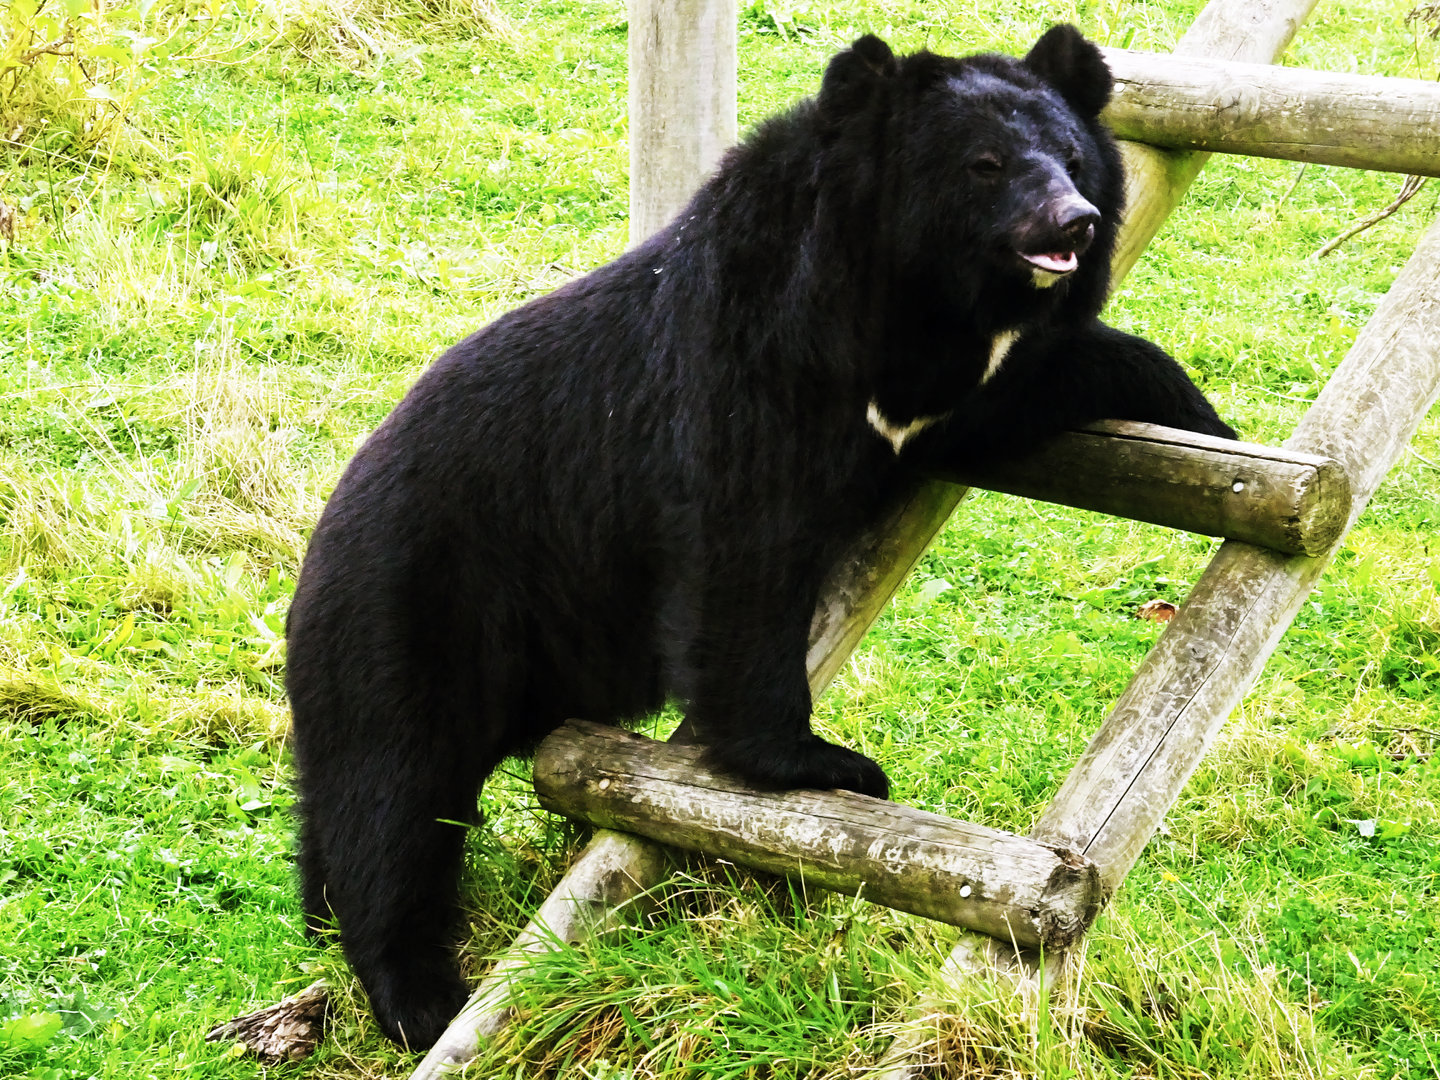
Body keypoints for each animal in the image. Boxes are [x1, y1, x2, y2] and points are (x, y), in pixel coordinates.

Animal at [286, 25, 1235, 1050]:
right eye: (985, 166)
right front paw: (824, 762)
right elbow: (741, 558)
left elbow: (1030, 387)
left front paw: (1207, 427)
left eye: (1070, 158)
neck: (905, 297)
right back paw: (418, 998)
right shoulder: (744, 371)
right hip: (412, 616)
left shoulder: (940, 393)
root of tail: (322, 541)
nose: (1074, 224)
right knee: (393, 798)